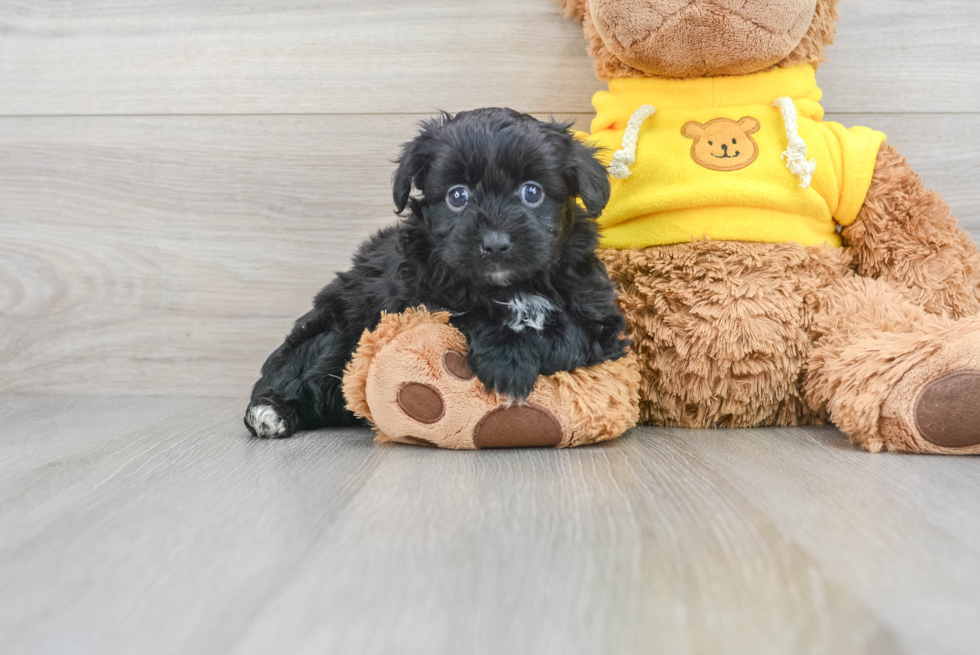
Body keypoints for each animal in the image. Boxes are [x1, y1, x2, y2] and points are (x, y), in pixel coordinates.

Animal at [245, 107, 628, 438]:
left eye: (531, 192)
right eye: (457, 196)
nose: (495, 243)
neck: (508, 287)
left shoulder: (598, 317)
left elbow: (568, 334)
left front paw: (517, 356)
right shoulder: (416, 302)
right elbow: (466, 312)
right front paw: (508, 360)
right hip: (331, 336)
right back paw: (271, 412)